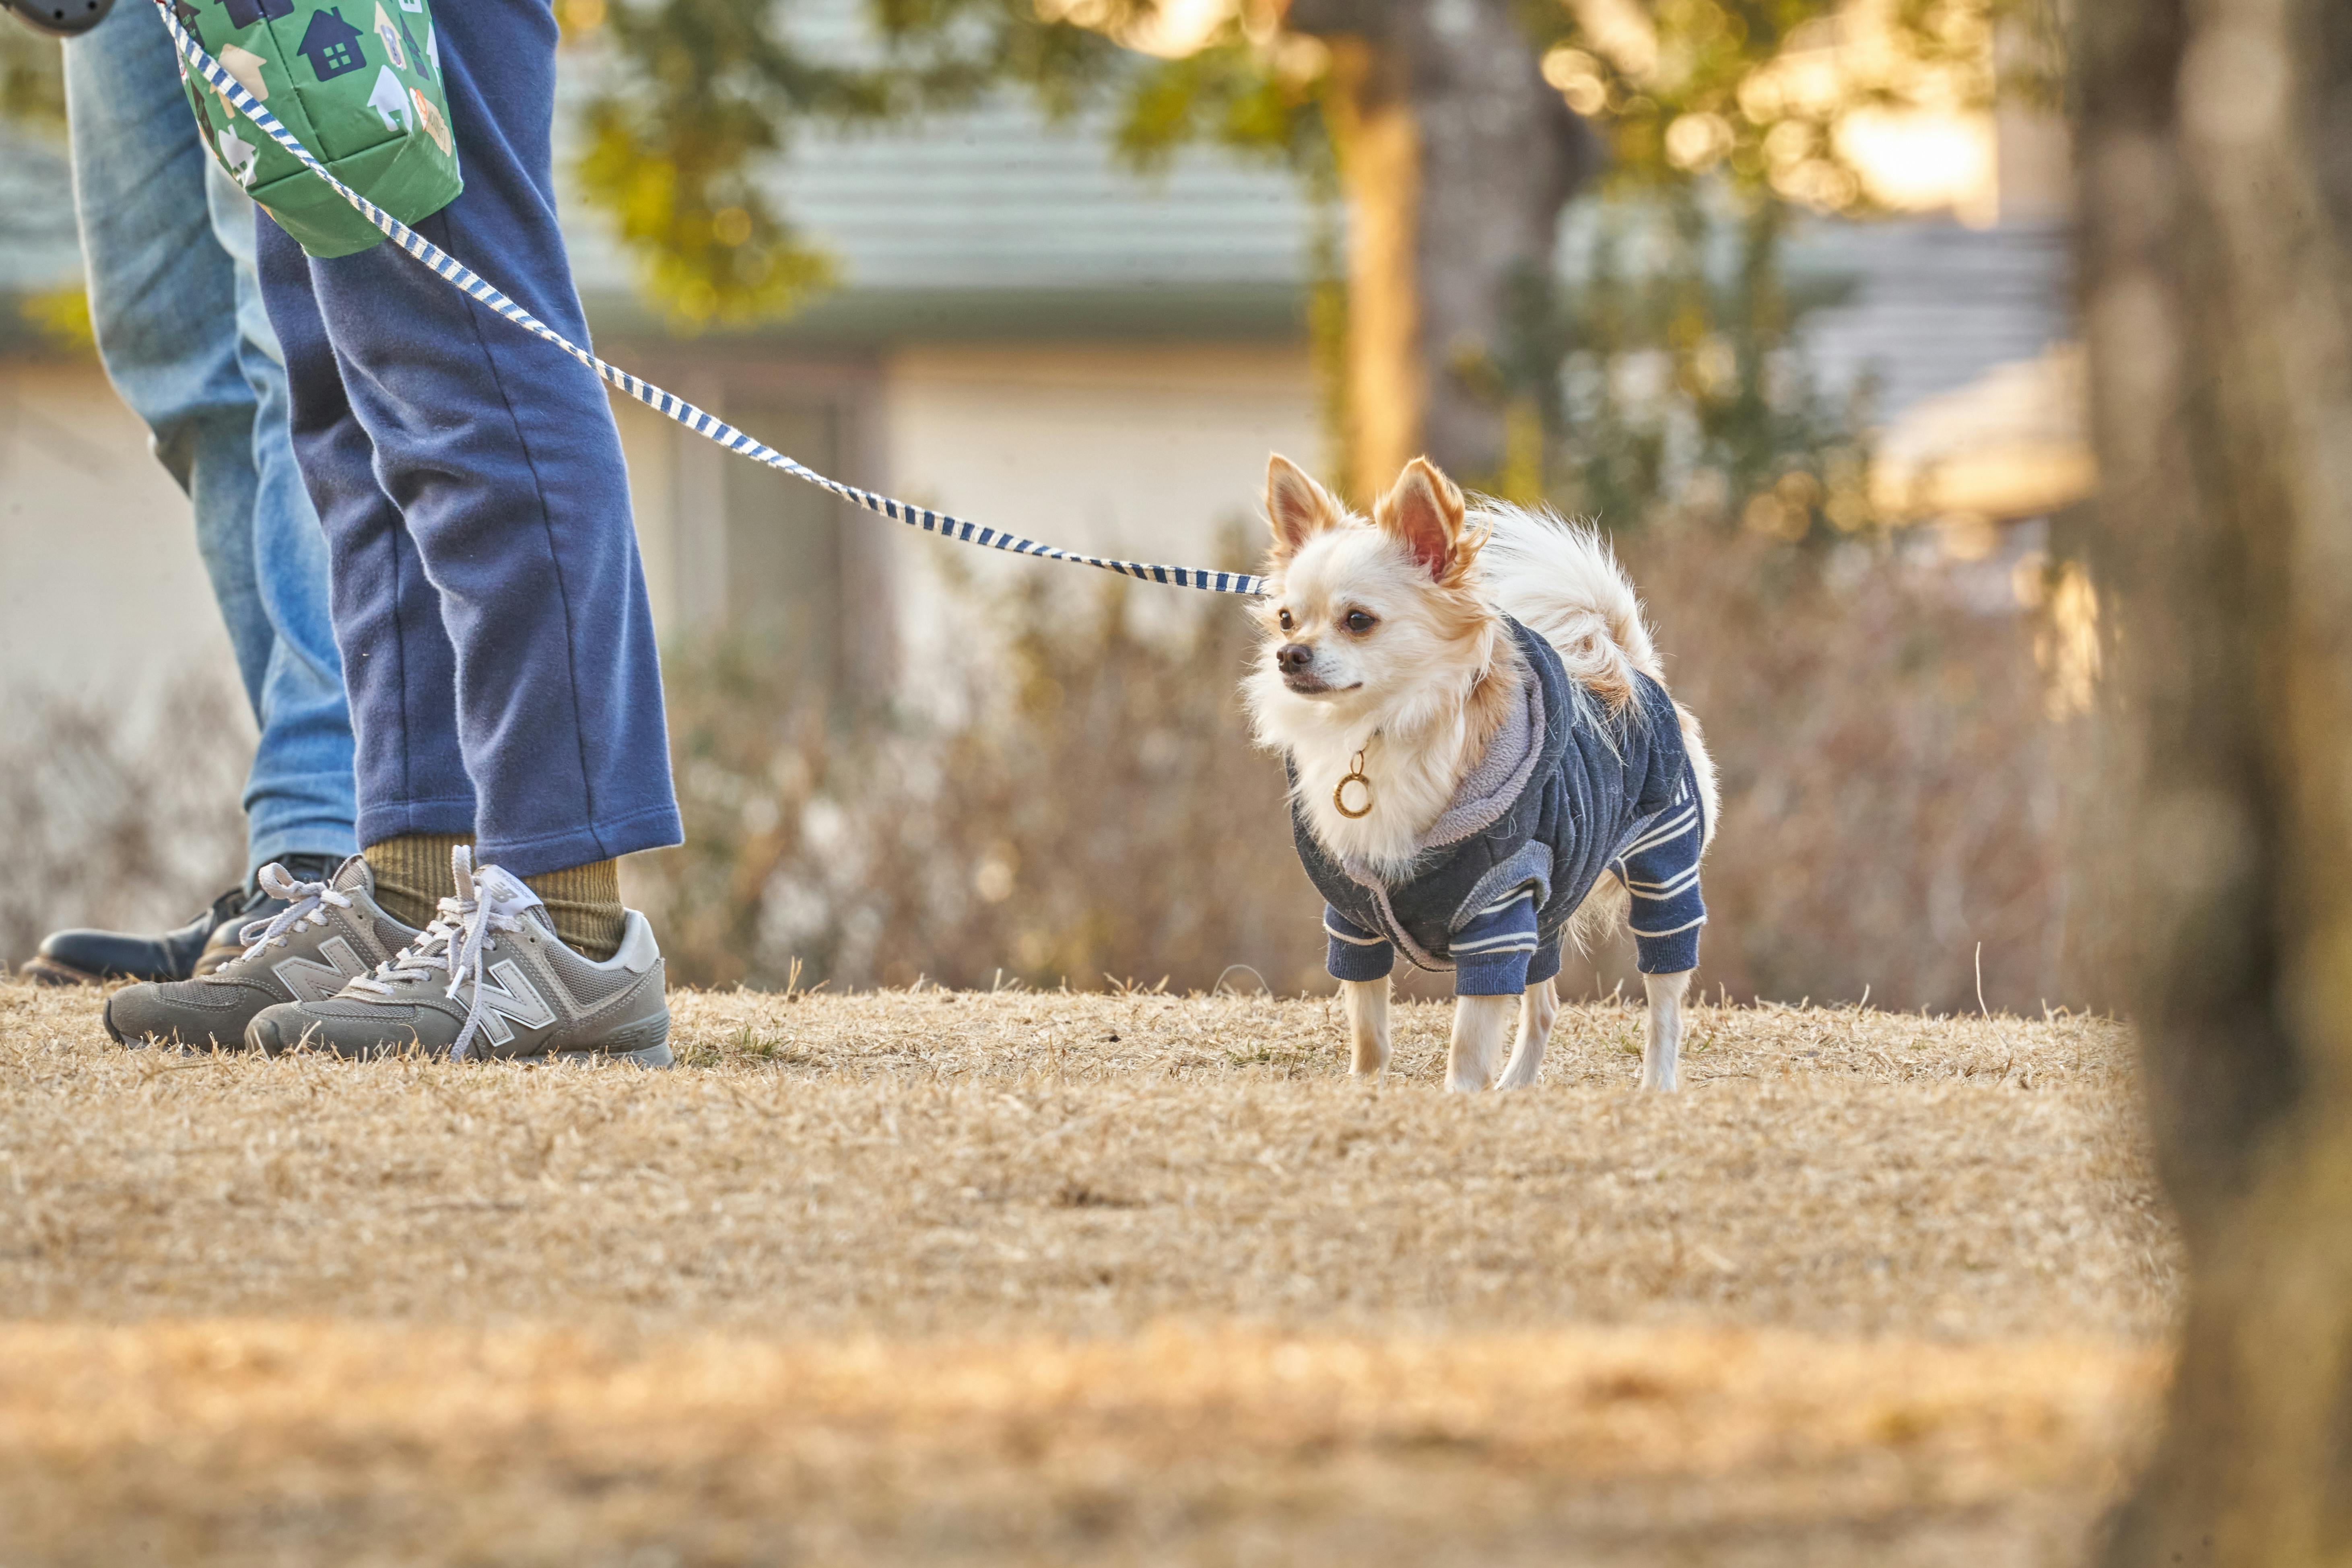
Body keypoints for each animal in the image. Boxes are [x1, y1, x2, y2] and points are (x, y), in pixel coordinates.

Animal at [1251, 453, 1731, 1090]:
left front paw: (1460, 1097)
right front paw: (1366, 1088)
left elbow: (1467, 1043)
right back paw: (1515, 1086)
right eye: (1285, 620)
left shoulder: (1497, 916)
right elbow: (1368, 1027)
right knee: (1545, 1005)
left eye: (1358, 620)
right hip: (1554, 900)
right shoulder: (1355, 920)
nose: (1290, 655)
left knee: (1665, 1003)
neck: (1382, 732)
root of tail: (1632, 670)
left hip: (1664, 870)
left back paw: (1657, 1084)